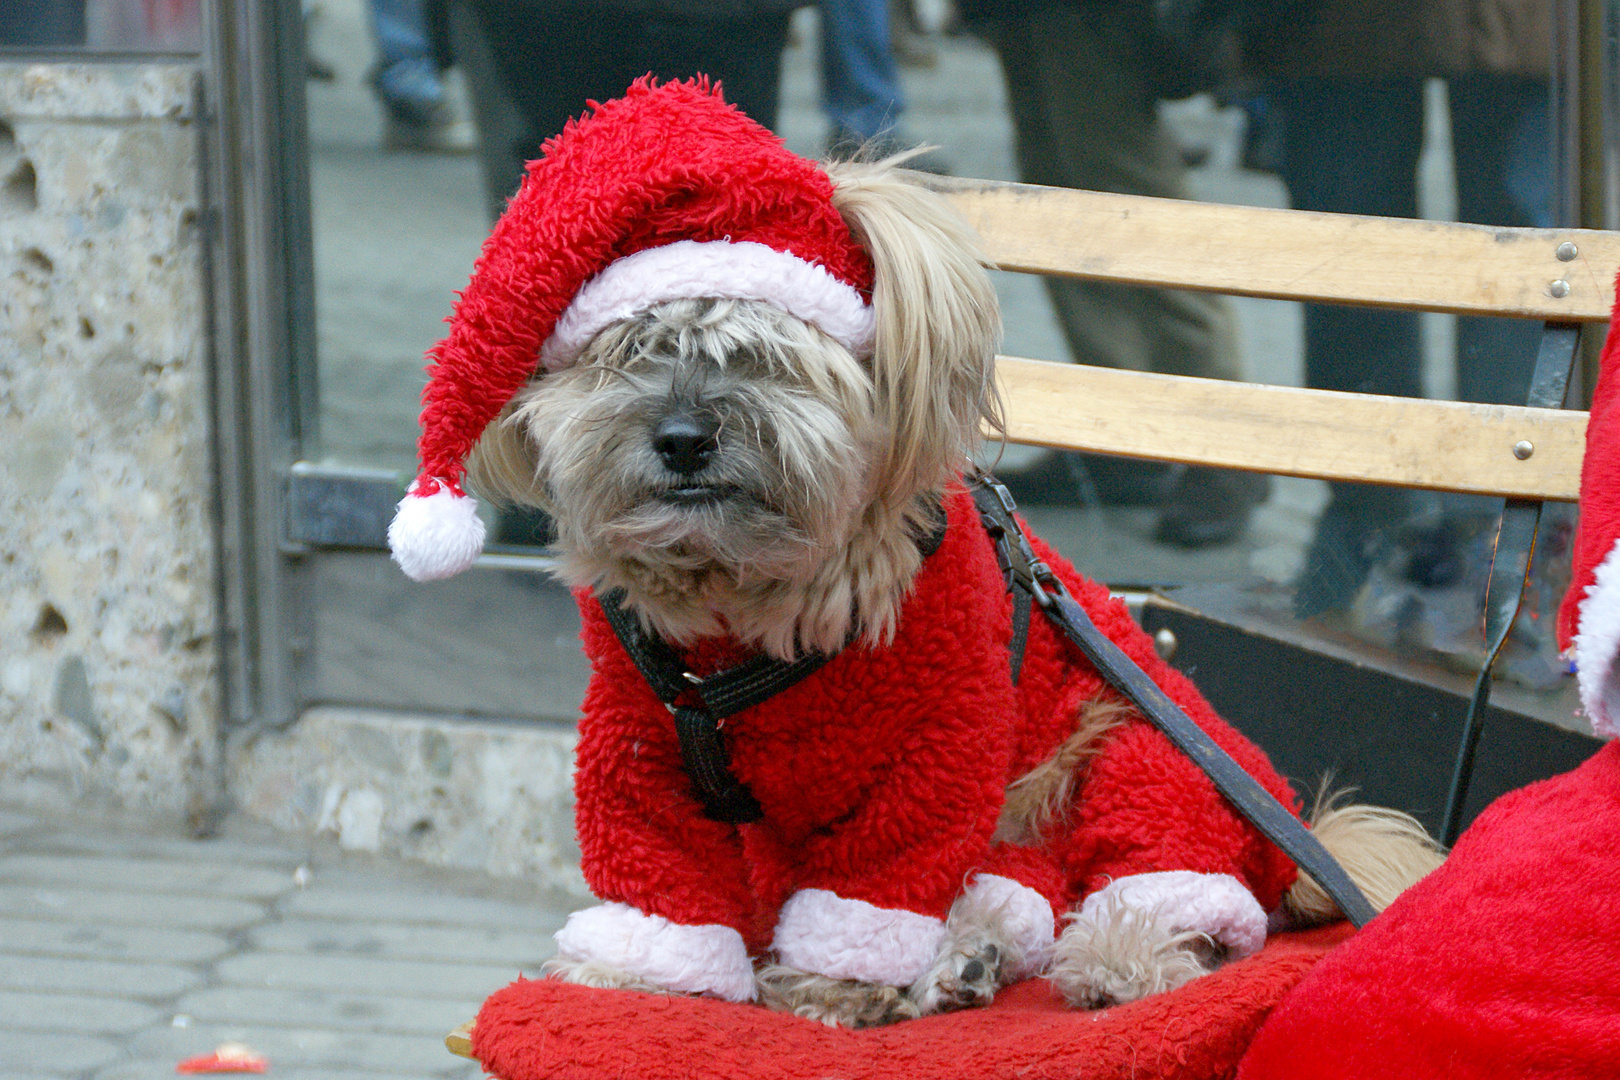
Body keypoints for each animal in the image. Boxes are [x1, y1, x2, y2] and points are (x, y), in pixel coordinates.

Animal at [392, 78, 1445, 1029]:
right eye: (626, 354)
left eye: (761, 355)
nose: (684, 440)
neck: (738, 612)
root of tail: (1300, 834)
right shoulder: (636, 754)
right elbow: (662, 888)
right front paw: (638, 975)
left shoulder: (931, 751)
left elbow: (878, 886)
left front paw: (834, 986)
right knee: (1021, 893)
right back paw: (966, 961)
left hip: (1135, 760)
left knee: (1164, 899)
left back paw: (1109, 963)